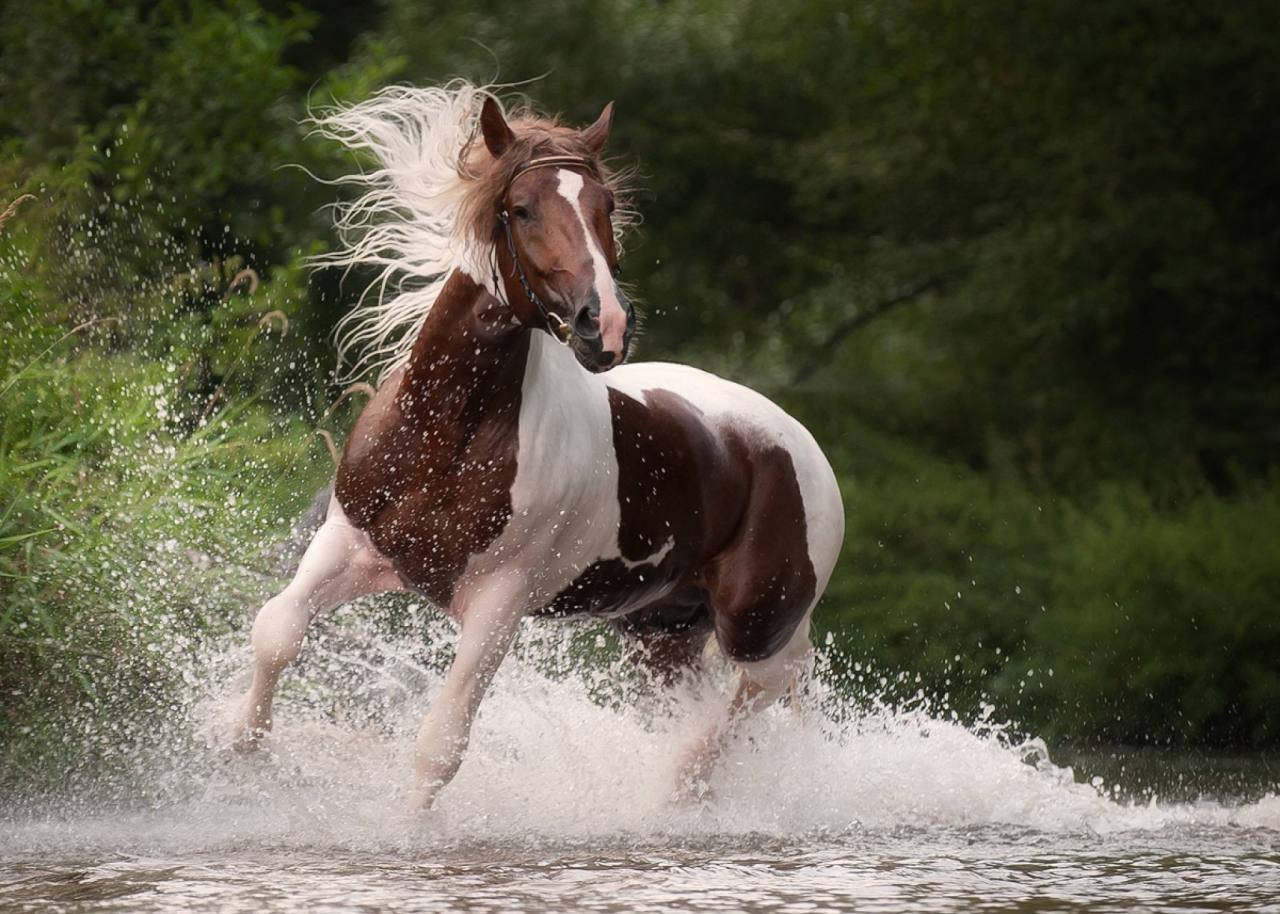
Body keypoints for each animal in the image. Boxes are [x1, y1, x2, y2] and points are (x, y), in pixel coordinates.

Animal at [227, 80, 849, 803]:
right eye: (521, 210)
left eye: (607, 207)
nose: (604, 326)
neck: (447, 437)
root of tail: (800, 447)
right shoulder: (349, 543)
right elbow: (276, 632)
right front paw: (236, 752)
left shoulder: (499, 604)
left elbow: (439, 747)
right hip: (661, 633)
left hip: (759, 626)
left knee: (759, 692)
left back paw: (677, 790)